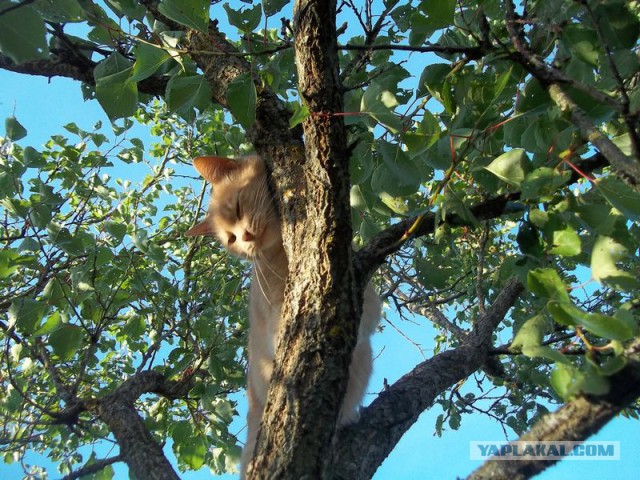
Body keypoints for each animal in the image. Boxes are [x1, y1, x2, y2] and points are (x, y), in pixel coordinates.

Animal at [185, 157, 382, 476]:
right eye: (231, 239)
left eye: (237, 207)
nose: (245, 237)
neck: (282, 255)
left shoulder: (365, 295)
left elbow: (363, 322)